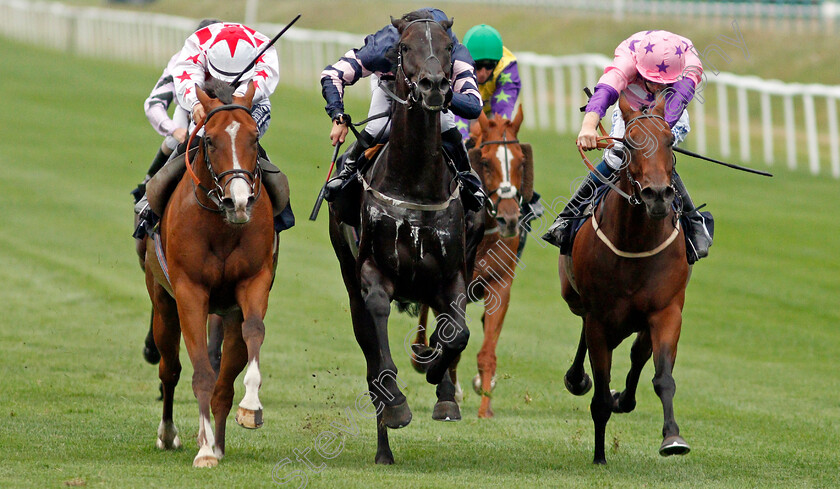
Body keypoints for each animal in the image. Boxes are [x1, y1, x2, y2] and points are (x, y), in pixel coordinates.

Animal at [143, 82, 278, 468]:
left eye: (253, 138)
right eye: (211, 140)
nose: (239, 201)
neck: (222, 226)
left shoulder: (253, 282)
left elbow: (254, 331)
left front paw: (250, 407)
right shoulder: (190, 291)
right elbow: (200, 370)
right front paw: (203, 452)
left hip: (226, 314)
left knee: (224, 383)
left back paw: (217, 441)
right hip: (163, 303)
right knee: (170, 369)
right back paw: (171, 434)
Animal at [326, 16, 472, 466]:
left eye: (447, 47)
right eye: (404, 47)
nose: (433, 85)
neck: (415, 183)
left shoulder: (451, 276)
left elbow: (457, 334)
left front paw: (440, 381)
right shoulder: (372, 275)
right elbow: (380, 352)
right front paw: (396, 405)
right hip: (348, 279)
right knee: (371, 359)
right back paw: (383, 447)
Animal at [410, 108, 536, 418]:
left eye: (521, 161)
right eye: (487, 163)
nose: (509, 219)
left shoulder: (500, 283)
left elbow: (486, 350)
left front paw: (485, 405)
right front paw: (450, 393)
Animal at [560, 93, 692, 464]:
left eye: (669, 140)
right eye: (631, 143)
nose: (657, 194)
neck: (635, 241)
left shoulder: (666, 312)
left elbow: (663, 378)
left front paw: (672, 437)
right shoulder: (599, 318)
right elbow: (600, 396)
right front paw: (599, 456)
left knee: (637, 354)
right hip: (577, 300)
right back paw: (577, 379)